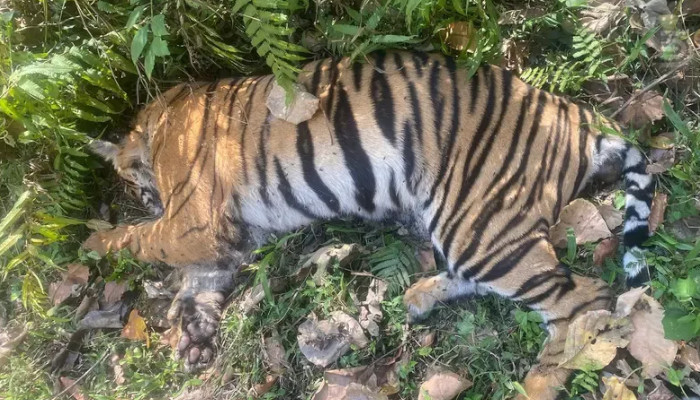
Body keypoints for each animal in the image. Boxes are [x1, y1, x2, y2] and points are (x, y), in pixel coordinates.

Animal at [84, 50, 654, 399]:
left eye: (138, 191)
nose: (144, 199)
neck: (157, 126)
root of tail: (580, 120)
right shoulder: (228, 238)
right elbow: (200, 280)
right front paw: (195, 337)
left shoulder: (194, 221)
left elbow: (140, 239)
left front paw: (95, 237)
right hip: (473, 225)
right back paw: (419, 297)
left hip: (481, 222)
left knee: (584, 299)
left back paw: (535, 384)